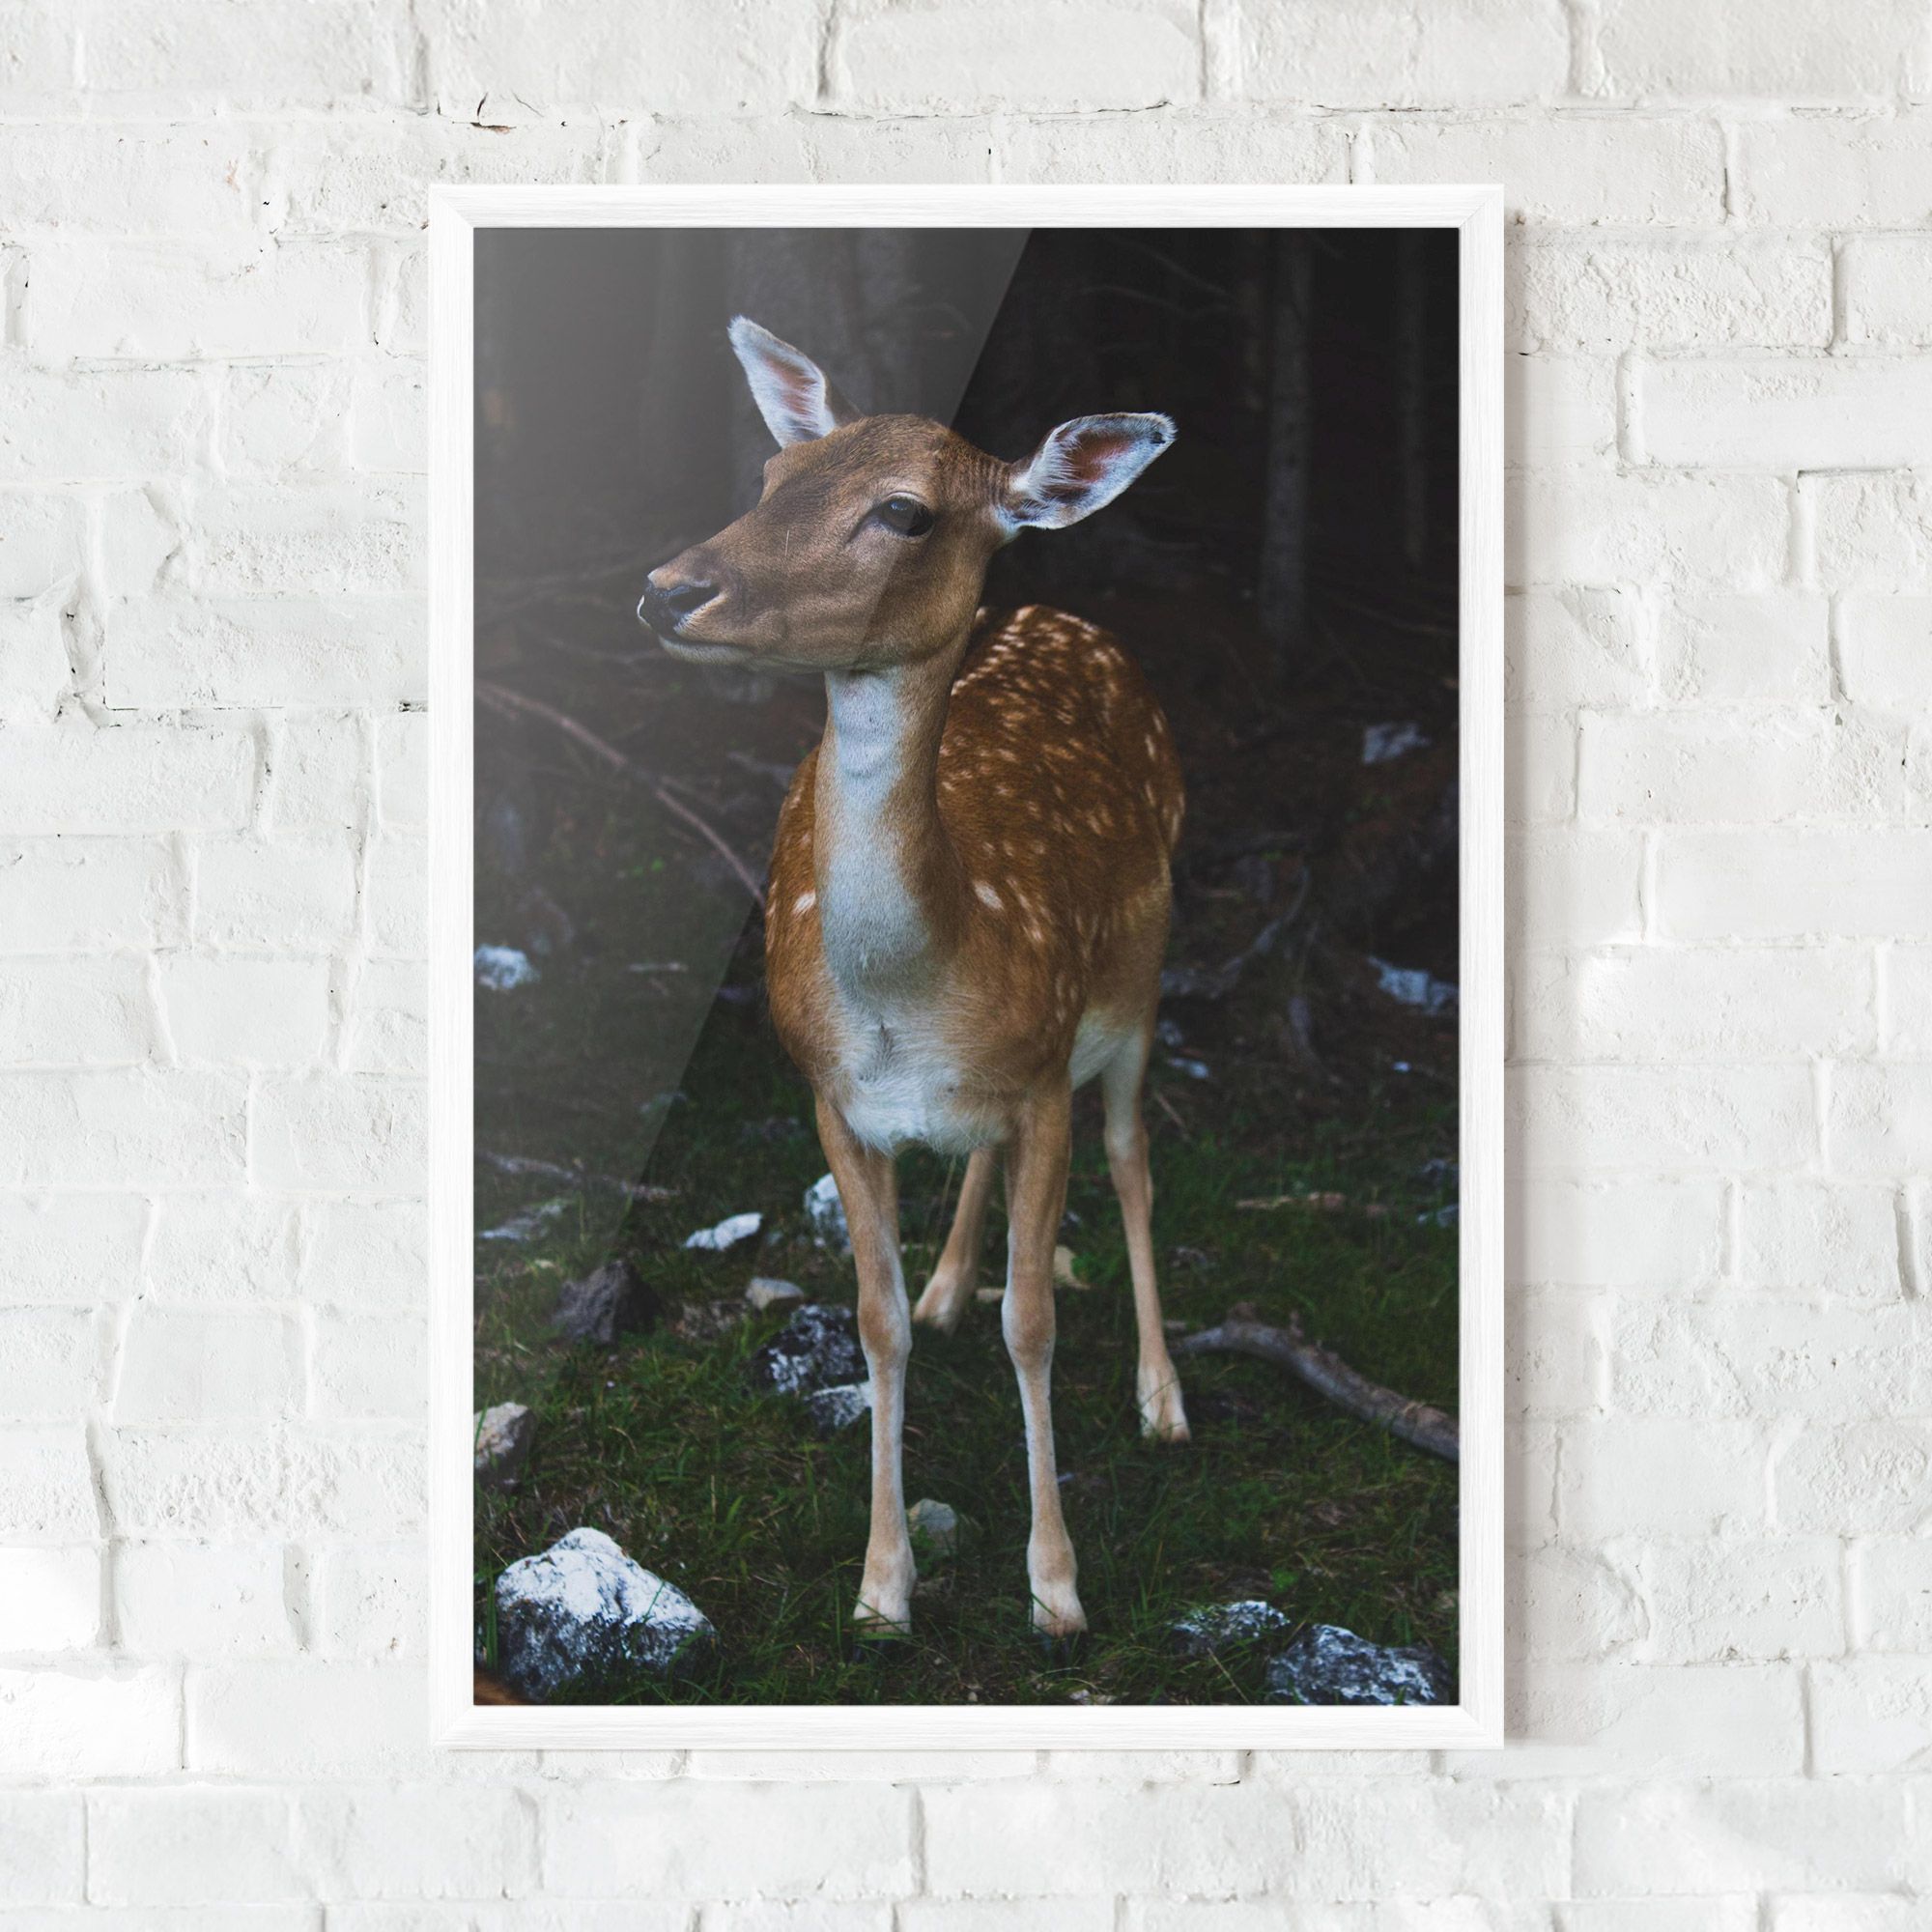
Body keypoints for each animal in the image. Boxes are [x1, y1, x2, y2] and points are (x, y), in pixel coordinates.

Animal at [635, 316, 1190, 1642]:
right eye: (775, 475)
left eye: (904, 512)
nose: (669, 587)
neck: (915, 988)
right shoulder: (831, 1095)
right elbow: (872, 1320)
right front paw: (882, 1584)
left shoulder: (1042, 1074)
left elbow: (1033, 1319)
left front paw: (1055, 1586)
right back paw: (948, 1284)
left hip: (1138, 980)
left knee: (1132, 1154)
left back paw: (1163, 1399)